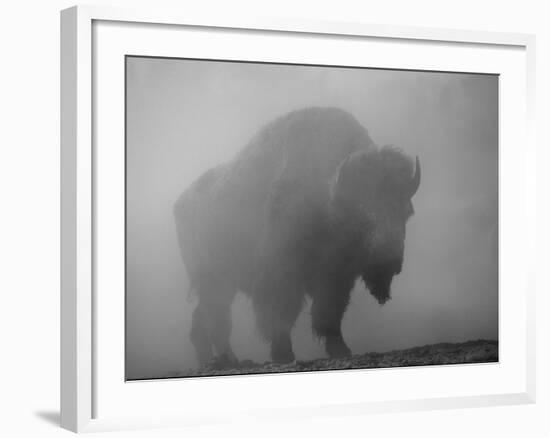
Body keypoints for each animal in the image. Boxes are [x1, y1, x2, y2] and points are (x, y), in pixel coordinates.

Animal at [175, 107, 420, 366]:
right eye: (361, 213)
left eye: (406, 211)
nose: (390, 261)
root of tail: (180, 203)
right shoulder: (281, 272)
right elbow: (281, 314)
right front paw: (283, 354)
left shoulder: (336, 277)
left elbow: (329, 313)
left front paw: (341, 349)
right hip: (213, 281)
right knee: (217, 320)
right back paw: (230, 360)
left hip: (222, 284)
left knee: (202, 321)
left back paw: (212, 361)